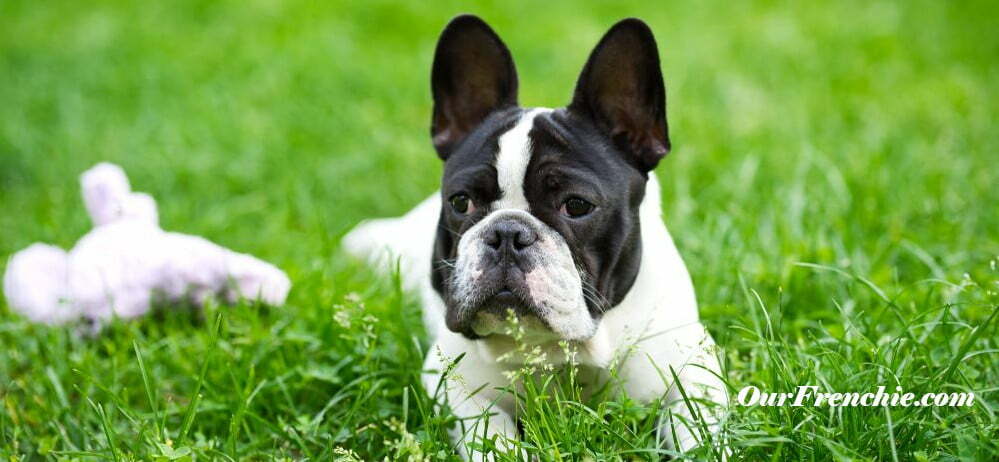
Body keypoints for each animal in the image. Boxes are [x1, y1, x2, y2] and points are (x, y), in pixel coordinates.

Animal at [344, 13, 728, 458]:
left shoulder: (695, 373)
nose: (507, 233)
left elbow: (697, 430)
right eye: (461, 202)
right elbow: (491, 435)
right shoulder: (454, 383)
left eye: (576, 205)